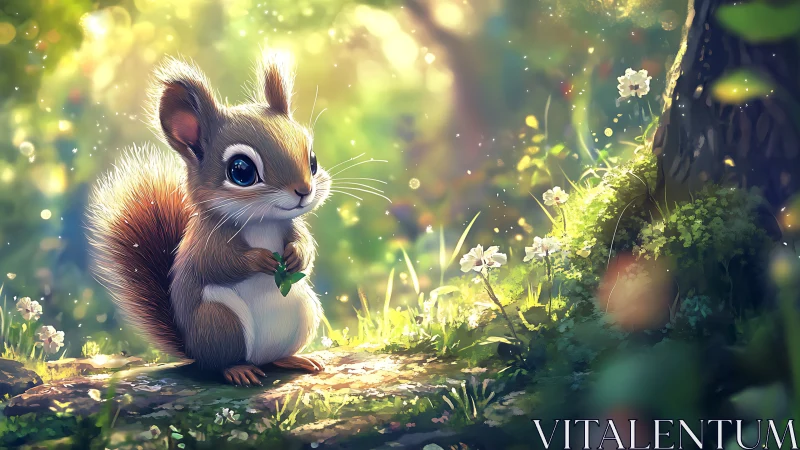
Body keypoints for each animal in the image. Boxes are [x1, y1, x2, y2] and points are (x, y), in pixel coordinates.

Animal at [87, 51, 330, 386]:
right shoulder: (206, 240)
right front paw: (259, 260)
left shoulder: (289, 224)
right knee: (220, 363)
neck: (261, 221)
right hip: (218, 320)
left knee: (275, 356)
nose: (304, 191)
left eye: (313, 160)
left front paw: (296, 255)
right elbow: (218, 263)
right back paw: (239, 370)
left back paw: (295, 358)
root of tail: (192, 348)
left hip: (303, 310)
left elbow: (304, 242)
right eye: (241, 170)